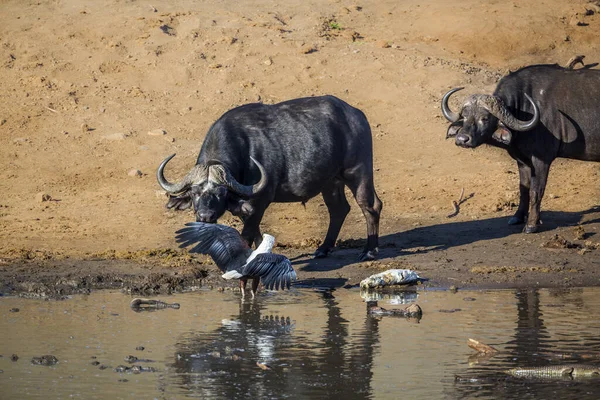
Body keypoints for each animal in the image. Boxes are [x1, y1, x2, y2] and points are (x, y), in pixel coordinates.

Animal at [157, 95, 382, 260]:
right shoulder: (247, 209)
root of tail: (356, 115)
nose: (205, 216)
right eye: (195, 193)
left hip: (358, 172)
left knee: (371, 206)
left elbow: (248, 235)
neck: (243, 150)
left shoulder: (259, 202)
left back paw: (369, 251)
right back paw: (323, 249)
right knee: (339, 210)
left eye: (221, 193)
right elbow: (256, 235)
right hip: (331, 182)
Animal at [440, 63, 600, 233]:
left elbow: (536, 191)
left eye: (485, 118)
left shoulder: (541, 161)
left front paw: (531, 224)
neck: (524, 108)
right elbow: (523, 189)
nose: (462, 139)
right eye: (464, 116)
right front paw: (517, 217)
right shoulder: (522, 161)